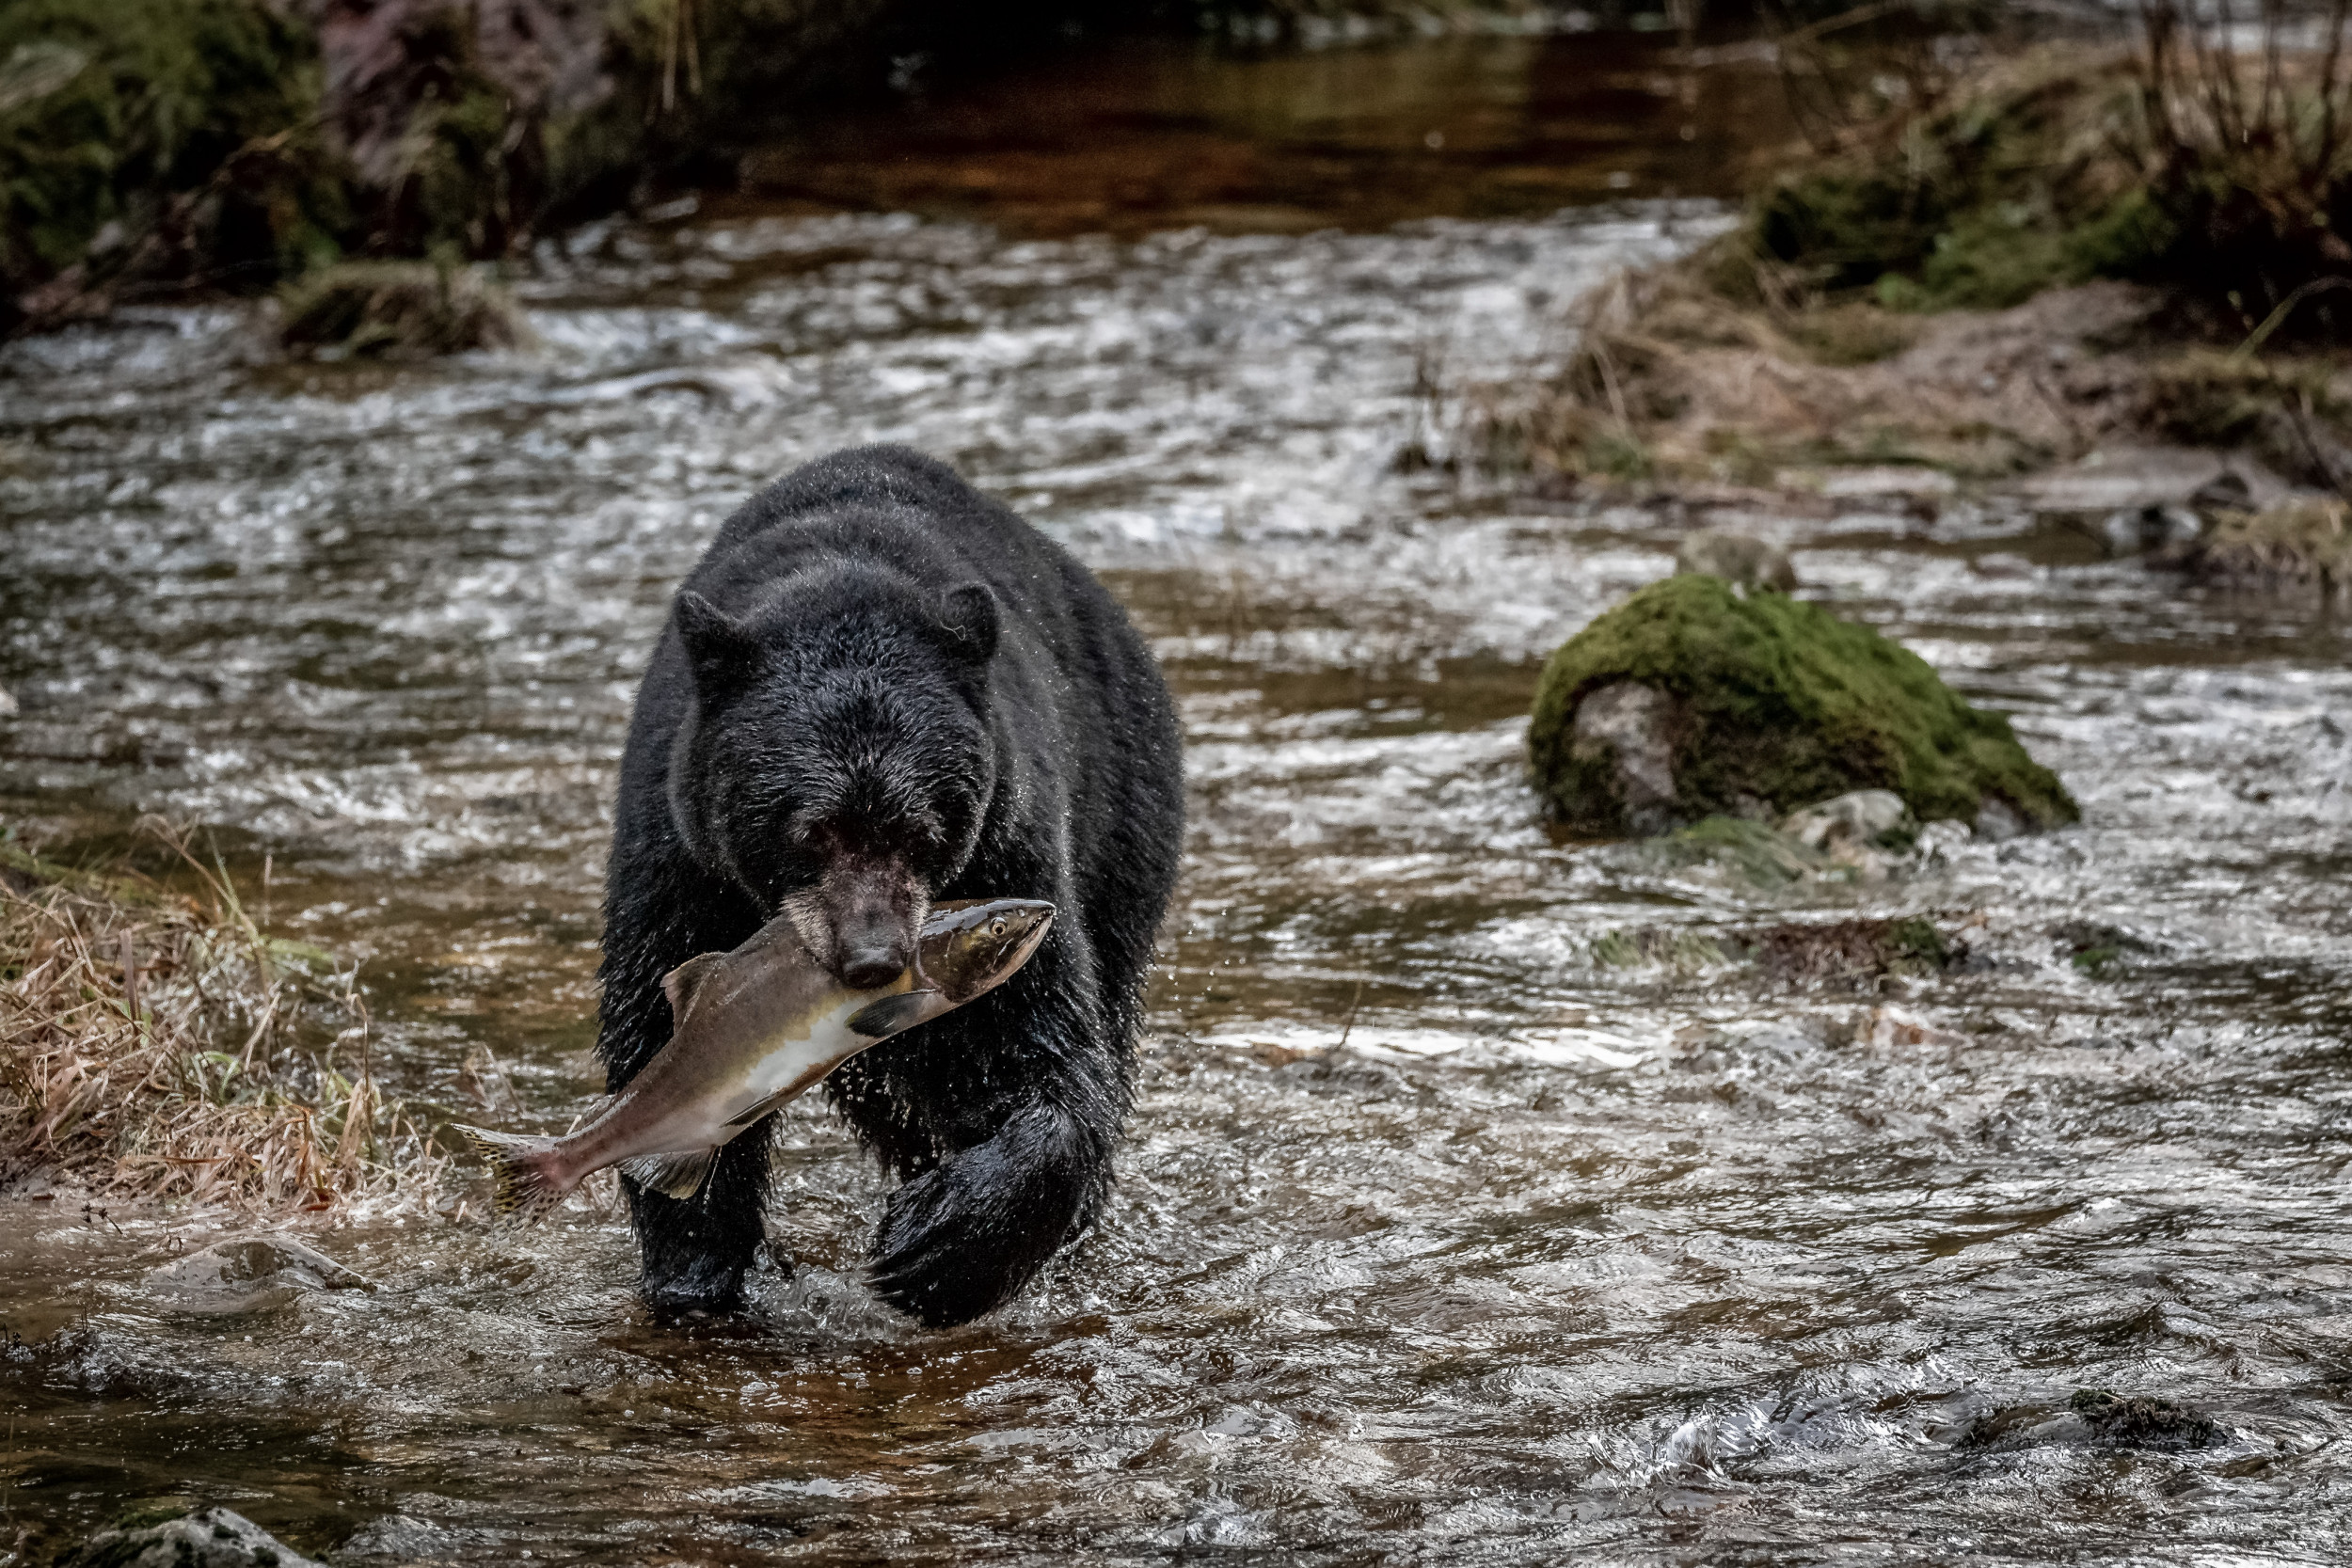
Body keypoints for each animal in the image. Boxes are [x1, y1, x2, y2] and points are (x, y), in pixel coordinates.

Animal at [597, 444, 1185, 1325]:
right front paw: (696, 1272)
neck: (840, 583)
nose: (874, 959)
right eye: (812, 829)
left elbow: (1040, 1044)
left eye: (919, 827)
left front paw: (937, 1249)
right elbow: (660, 1036)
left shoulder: (1008, 844)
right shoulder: (679, 859)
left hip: (1123, 813)